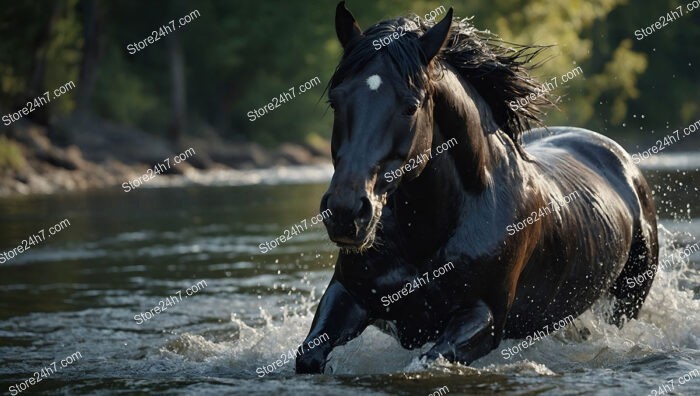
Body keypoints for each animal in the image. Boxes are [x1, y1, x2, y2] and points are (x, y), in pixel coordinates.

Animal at [296, 2, 656, 374]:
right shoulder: (347, 295)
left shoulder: (483, 317)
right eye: (336, 101)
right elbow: (308, 355)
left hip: (628, 298)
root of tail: (620, 160)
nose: (345, 213)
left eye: (411, 106)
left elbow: (429, 359)